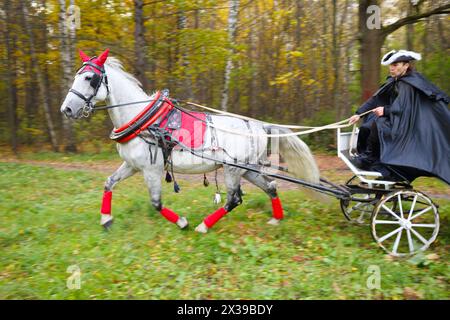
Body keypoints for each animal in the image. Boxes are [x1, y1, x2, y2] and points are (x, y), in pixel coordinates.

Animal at [60, 48, 320, 232]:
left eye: (90, 78)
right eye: (77, 76)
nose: (67, 110)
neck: (143, 119)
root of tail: (258, 126)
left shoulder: (151, 169)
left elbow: (156, 202)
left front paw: (182, 223)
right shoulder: (132, 165)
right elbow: (109, 183)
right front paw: (106, 219)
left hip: (233, 169)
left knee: (233, 199)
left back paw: (203, 226)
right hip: (248, 169)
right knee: (271, 186)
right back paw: (276, 219)